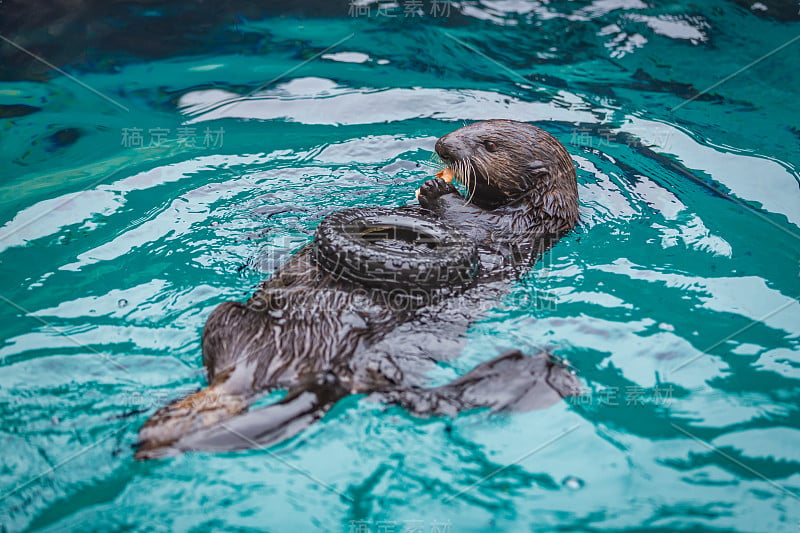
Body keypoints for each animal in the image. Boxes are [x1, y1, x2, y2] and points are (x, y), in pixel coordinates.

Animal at [136, 119, 580, 458]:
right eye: (470, 124)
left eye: (489, 144)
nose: (441, 145)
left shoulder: (512, 228)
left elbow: (470, 220)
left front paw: (437, 189)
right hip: (230, 316)